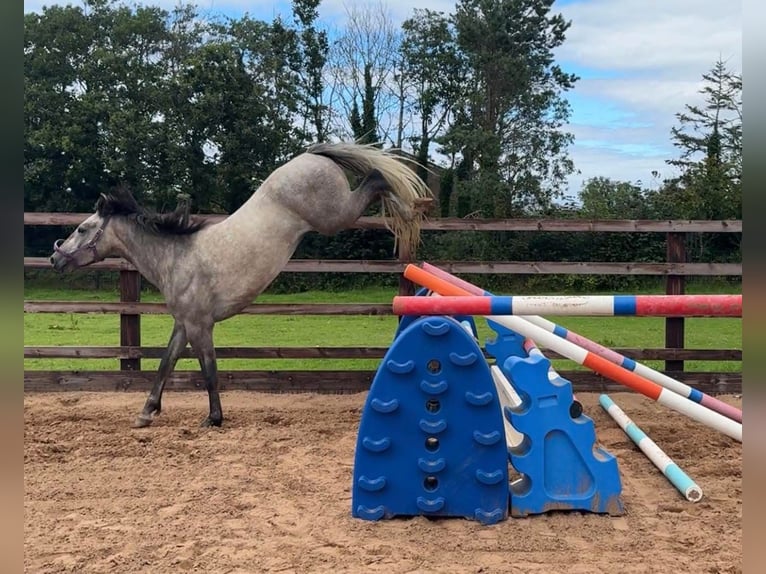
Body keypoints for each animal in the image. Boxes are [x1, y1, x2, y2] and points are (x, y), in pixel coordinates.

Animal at [49, 142, 433, 428]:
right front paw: (146, 413)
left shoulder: (200, 326)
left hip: (335, 215)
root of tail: (313, 155)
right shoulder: (184, 324)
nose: (56, 259)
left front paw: (214, 418)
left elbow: (209, 371)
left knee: (376, 177)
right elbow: (165, 364)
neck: (176, 255)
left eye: (82, 228)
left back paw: (411, 208)